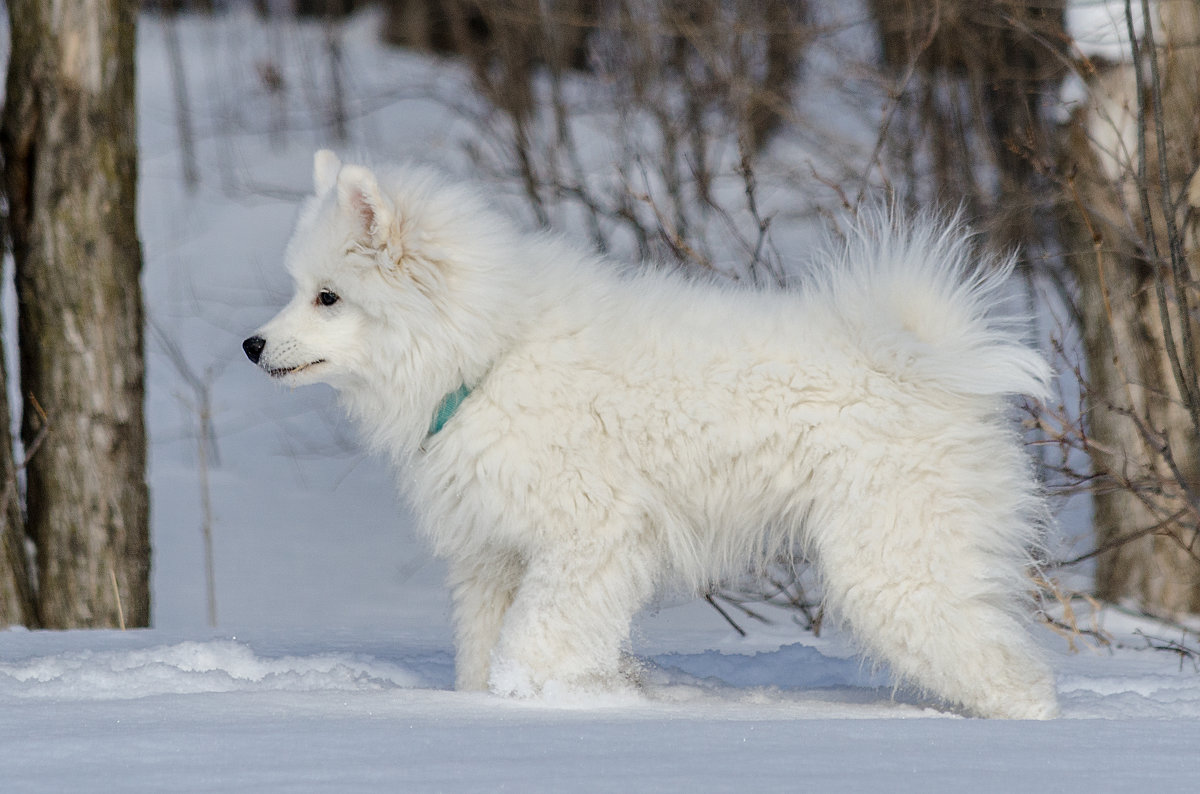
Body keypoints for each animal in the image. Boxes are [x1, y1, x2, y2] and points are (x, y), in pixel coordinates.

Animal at [243, 151, 1060, 719]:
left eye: (328, 297)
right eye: (299, 290)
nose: (251, 346)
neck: (489, 351)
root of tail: (923, 357)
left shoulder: (588, 538)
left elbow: (533, 640)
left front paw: (538, 696)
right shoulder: (492, 555)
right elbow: (480, 652)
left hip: (896, 567)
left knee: (1012, 674)